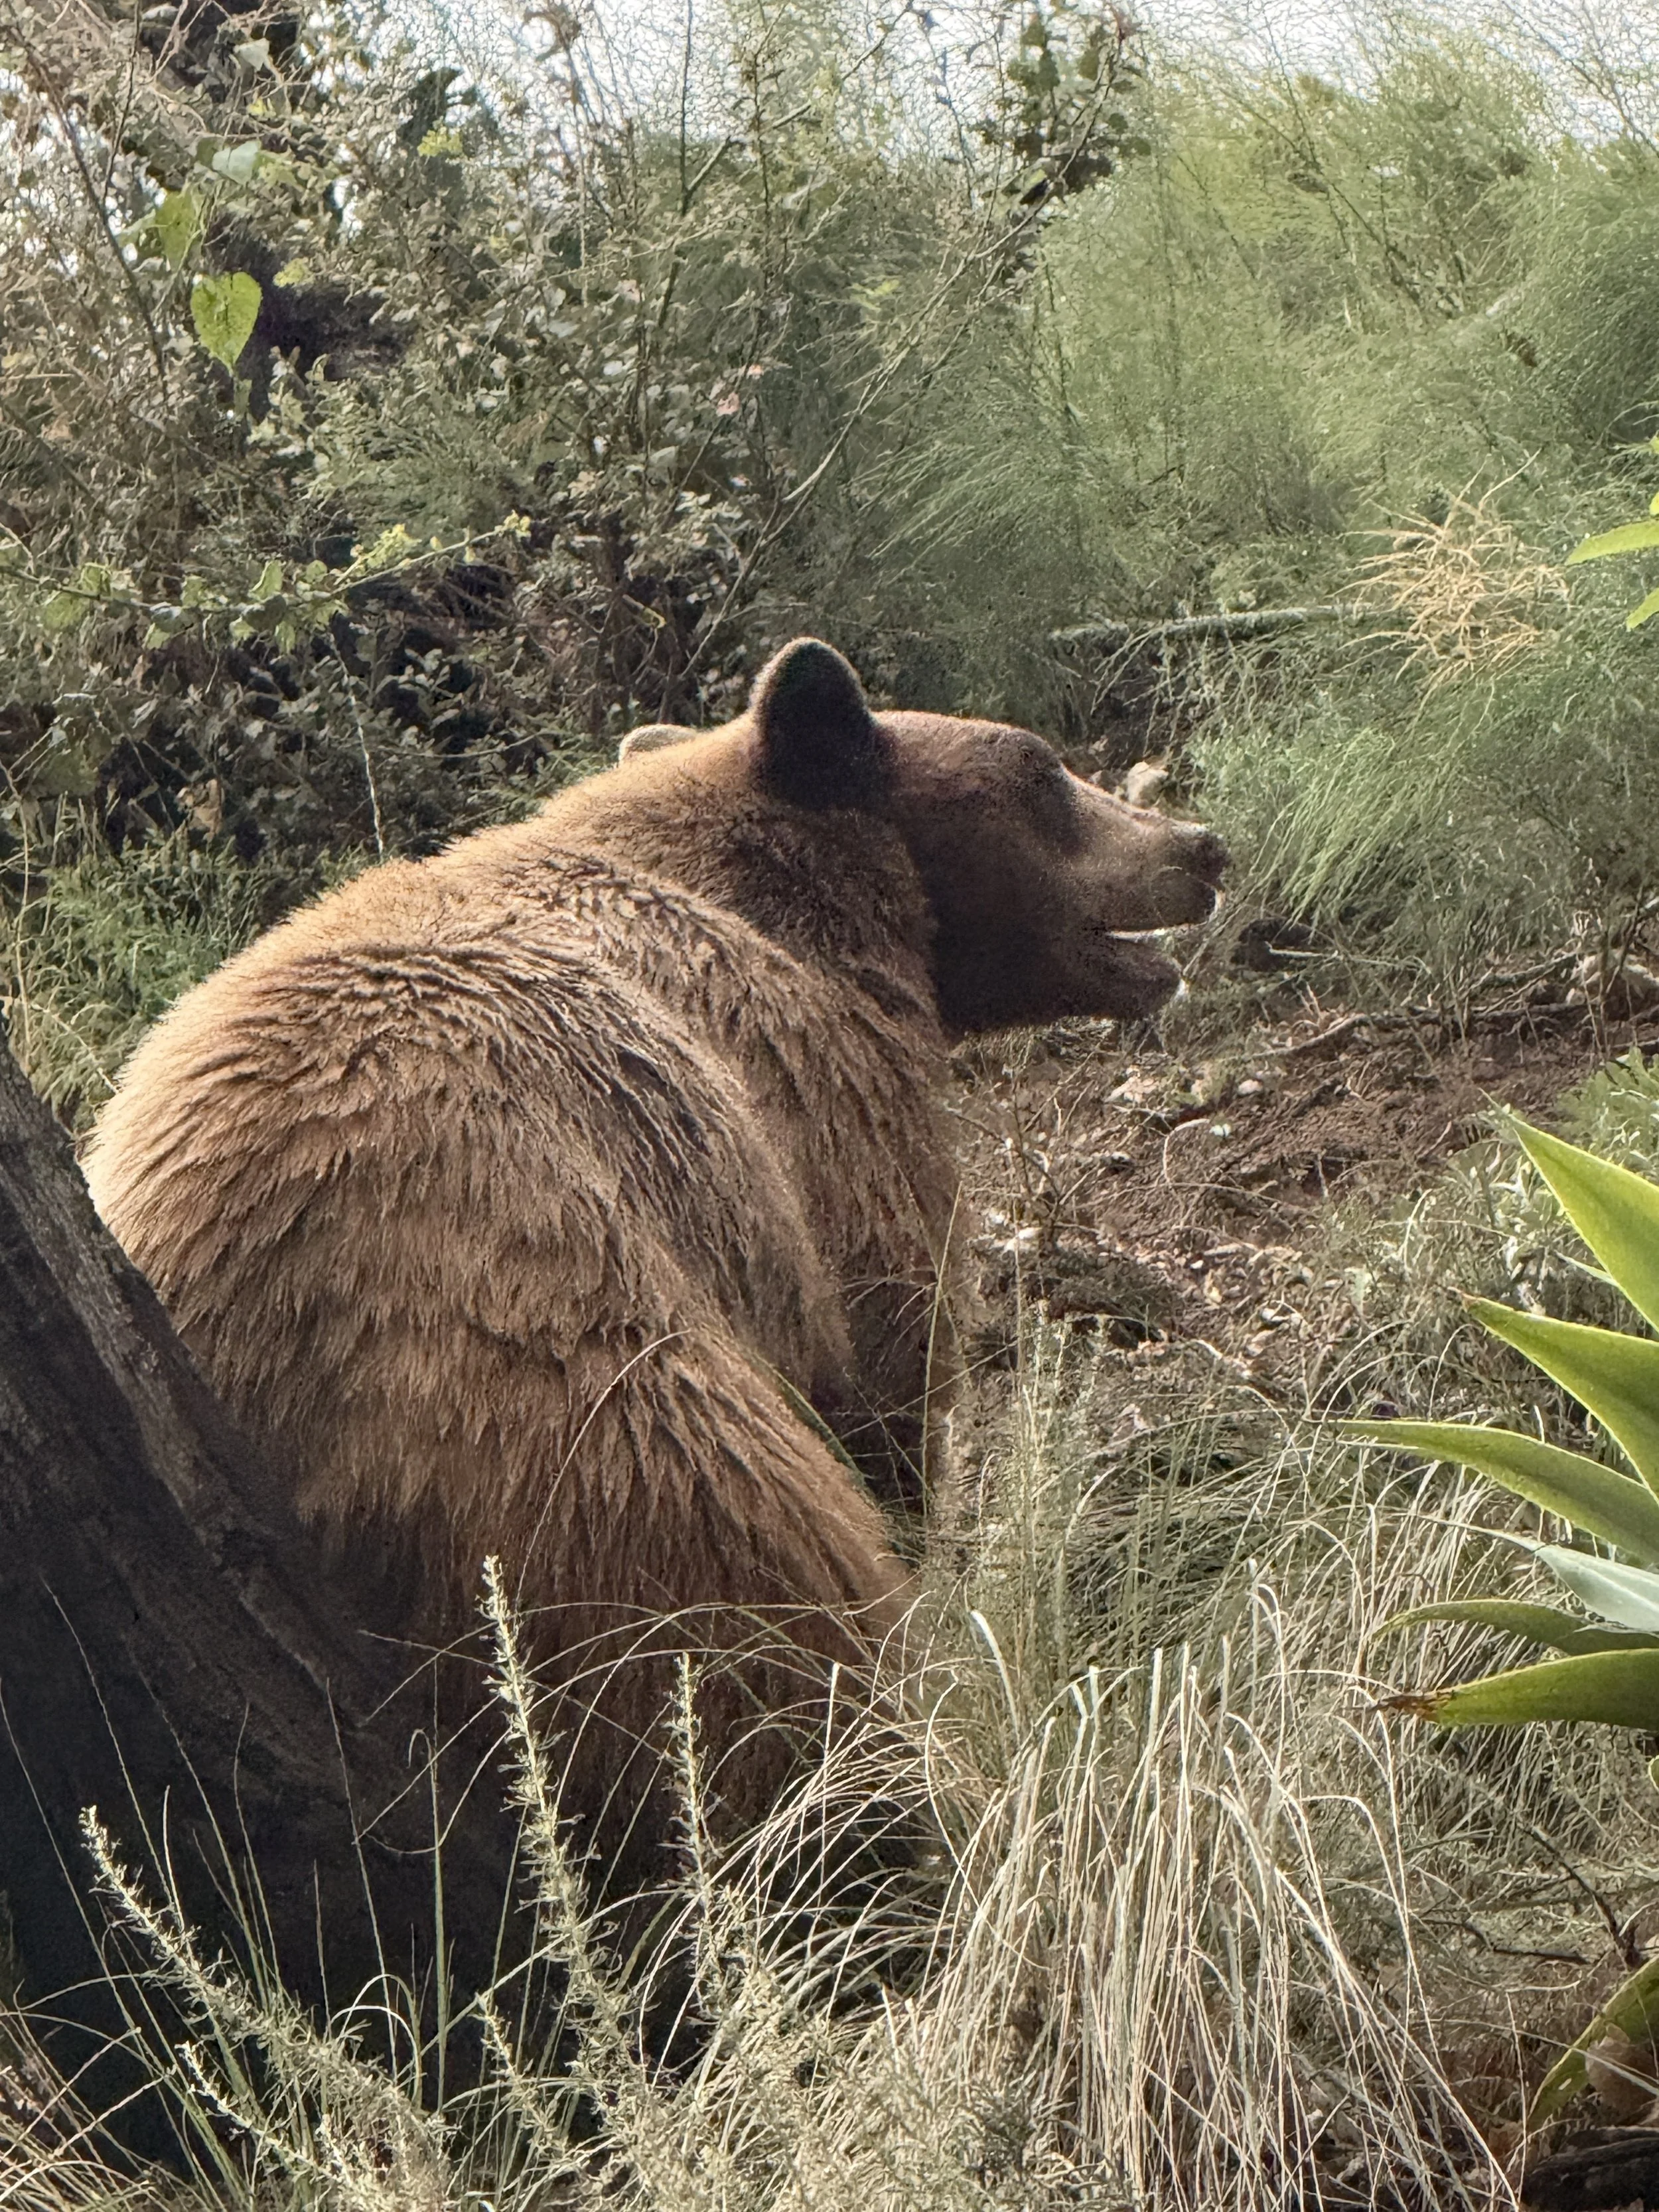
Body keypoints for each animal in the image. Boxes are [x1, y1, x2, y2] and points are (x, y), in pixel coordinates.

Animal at [84, 639, 1224, 1869]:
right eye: (1043, 770)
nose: (1199, 844)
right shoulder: (822, 1130)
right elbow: (891, 1370)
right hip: (579, 1405)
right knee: (755, 1623)